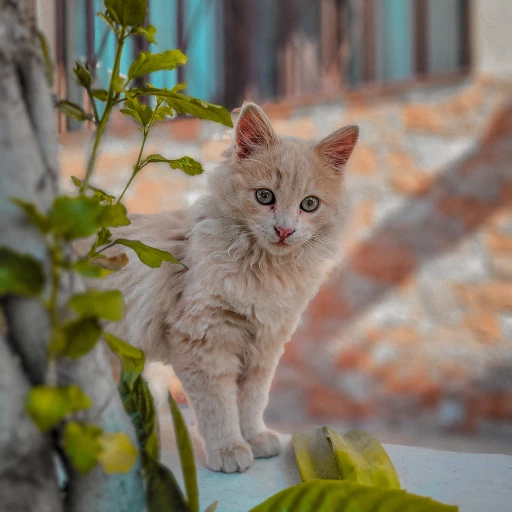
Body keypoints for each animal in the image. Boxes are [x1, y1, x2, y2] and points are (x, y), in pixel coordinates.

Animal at [82, 103, 358, 472]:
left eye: (309, 204)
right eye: (264, 196)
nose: (284, 230)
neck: (263, 271)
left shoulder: (265, 345)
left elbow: (252, 401)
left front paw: (256, 438)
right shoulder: (203, 338)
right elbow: (218, 405)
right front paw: (229, 448)